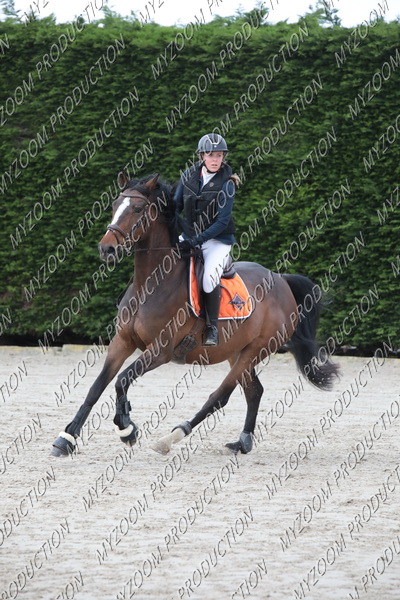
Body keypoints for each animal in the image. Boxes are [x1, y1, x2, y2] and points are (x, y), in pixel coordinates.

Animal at [51, 172, 340, 457]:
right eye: (114, 206)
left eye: (138, 209)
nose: (106, 249)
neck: (151, 285)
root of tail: (280, 279)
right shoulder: (122, 342)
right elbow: (97, 386)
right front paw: (66, 439)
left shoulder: (161, 350)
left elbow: (122, 380)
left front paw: (126, 429)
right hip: (237, 351)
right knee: (254, 391)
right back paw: (242, 442)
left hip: (255, 350)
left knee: (220, 396)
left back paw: (171, 437)